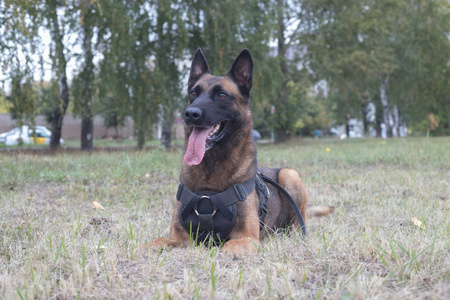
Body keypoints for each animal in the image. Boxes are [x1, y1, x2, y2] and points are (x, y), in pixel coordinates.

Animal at [148, 48, 334, 256]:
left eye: (222, 95)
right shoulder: (179, 238)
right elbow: (158, 241)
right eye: (193, 93)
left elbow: (228, 245)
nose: (190, 114)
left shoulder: (248, 238)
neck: (210, 173)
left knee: (298, 223)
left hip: (290, 175)